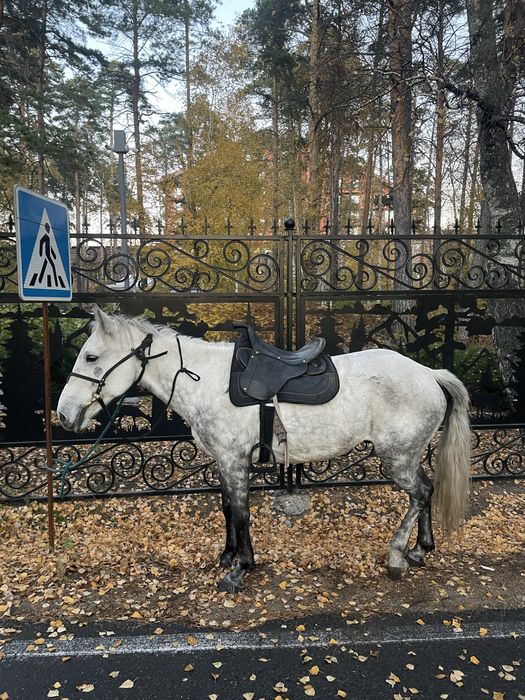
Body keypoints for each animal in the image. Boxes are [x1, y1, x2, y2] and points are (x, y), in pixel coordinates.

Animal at [57, 306, 471, 593]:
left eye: (91, 357)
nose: (63, 413)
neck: (205, 381)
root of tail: (429, 374)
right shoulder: (225, 462)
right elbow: (227, 508)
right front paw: (228, 555)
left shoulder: (233, 461)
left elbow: (240, 513)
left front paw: (240, 568)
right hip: (407, 457)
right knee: (426, 490)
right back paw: (421, 549)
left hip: (397, 457)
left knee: (420, 493)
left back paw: (399, 554)